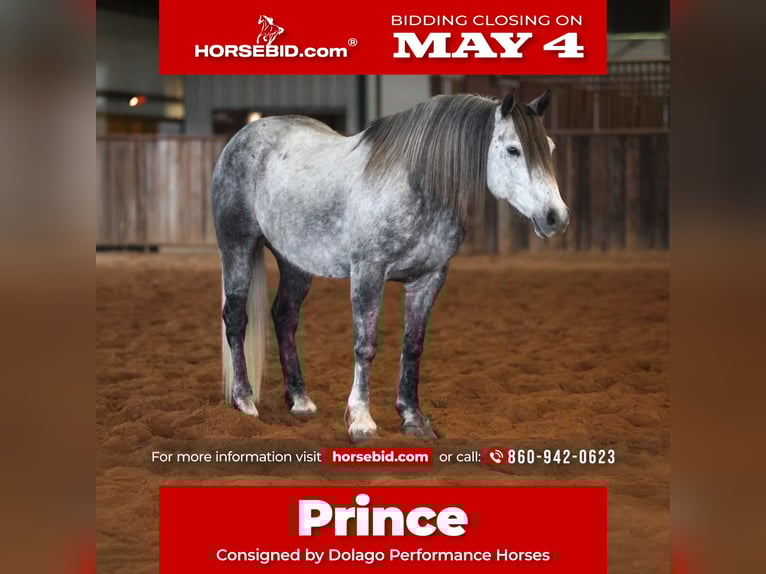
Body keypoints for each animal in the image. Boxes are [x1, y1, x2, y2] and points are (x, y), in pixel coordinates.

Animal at [212, 90, 569, 443]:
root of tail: (243, 136)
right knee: (236, 318)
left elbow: (413, 346)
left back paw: (300, 401)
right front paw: (361, 422)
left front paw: (414, 420)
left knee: (285, 316)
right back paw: (244, 402)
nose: (556, 217)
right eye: (513, 149)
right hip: (238, 246)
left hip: (295, 261)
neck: (416, 185)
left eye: (550, 148)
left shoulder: (428, 279)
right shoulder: (368, 273)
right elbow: (365, 345)